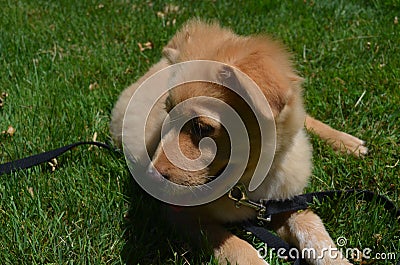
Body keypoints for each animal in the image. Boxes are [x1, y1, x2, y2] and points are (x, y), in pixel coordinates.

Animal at [111, 19, 368, 262]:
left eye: (201, 127)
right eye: (167, 113)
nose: (150, 179)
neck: (247, 184)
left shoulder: (286, 202)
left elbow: (314, 230)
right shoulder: (181, 215)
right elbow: (238, 247)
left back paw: (349, 144)